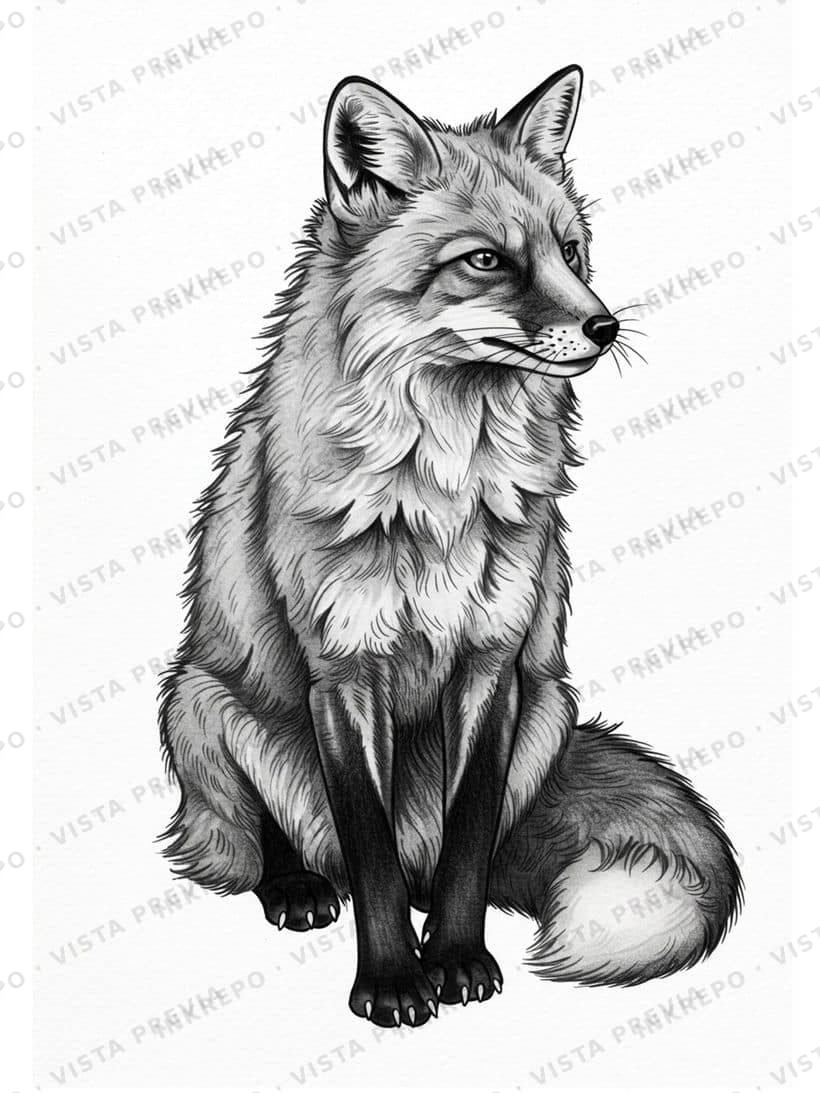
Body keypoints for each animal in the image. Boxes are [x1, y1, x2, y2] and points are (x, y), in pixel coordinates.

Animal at [158, 65, 742, 1028]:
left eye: (571, 252)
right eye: (487, 260)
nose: (608, 327)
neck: (436, 495)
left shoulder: (493, 664)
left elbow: (469, 839)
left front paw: (459, 958)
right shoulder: (344, 671)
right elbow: (370, 851)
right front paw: (394, 980)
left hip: (551, 707)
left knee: (453, 856)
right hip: (198, 701)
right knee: (268, 837)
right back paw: (297, 884)